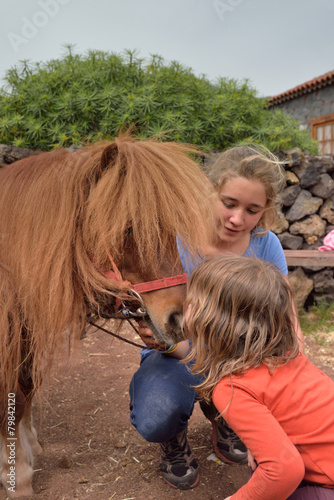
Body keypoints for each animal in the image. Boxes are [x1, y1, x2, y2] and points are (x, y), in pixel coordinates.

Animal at [0, 133, 214, 496]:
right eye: (127, 228)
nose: (179, 319)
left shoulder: (25, 332)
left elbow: (23, 388)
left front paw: (27, 450)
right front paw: (16, 477)